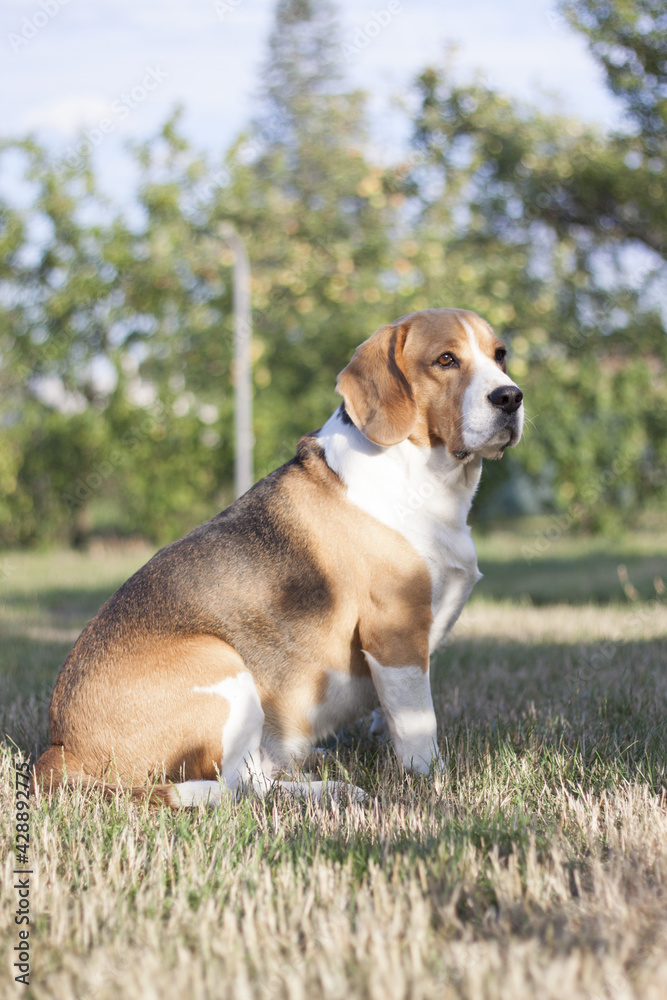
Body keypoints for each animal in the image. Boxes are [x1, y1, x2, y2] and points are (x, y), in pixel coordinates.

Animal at [34, 306, 524, 804]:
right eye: (445, 359)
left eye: (500, 354)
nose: (510, 397)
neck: (421, 474)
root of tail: (60, 749)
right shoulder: (396, 631)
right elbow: (418, 722)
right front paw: (430, 778)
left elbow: (390, 716)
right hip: (224, 665)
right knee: (242, 786)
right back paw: (331, 789)